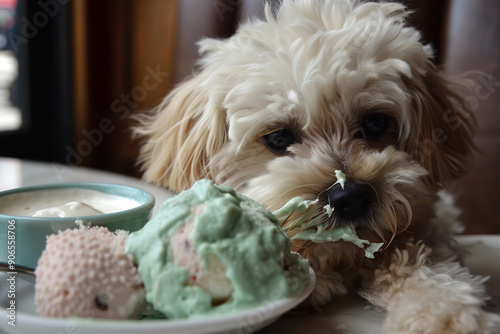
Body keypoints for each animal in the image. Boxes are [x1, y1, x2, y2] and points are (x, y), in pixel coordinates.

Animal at [133, 1, 500, 332]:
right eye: (279, 136)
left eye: (376, 123)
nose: (349, 196)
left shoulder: (429, 230)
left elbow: (425, 264)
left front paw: (447, 313)